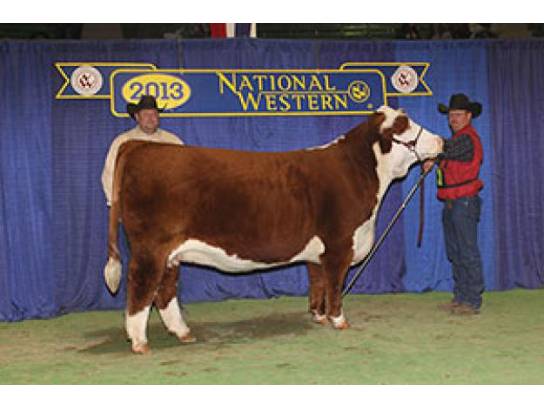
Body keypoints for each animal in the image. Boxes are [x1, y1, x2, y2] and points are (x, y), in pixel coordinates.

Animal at [103, 106, 443, 354]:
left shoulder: (318, 251)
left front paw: (318, 316)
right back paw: (139, 342)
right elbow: (334, 285)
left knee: (164, 291)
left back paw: (183, 332)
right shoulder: (338, 245)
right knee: (141, 288)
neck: (359, 173)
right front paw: (338, 320)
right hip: (151, 248)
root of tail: (139, 145)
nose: (441, 141)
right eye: (403, 126)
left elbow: (317, 282)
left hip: (171, 254)